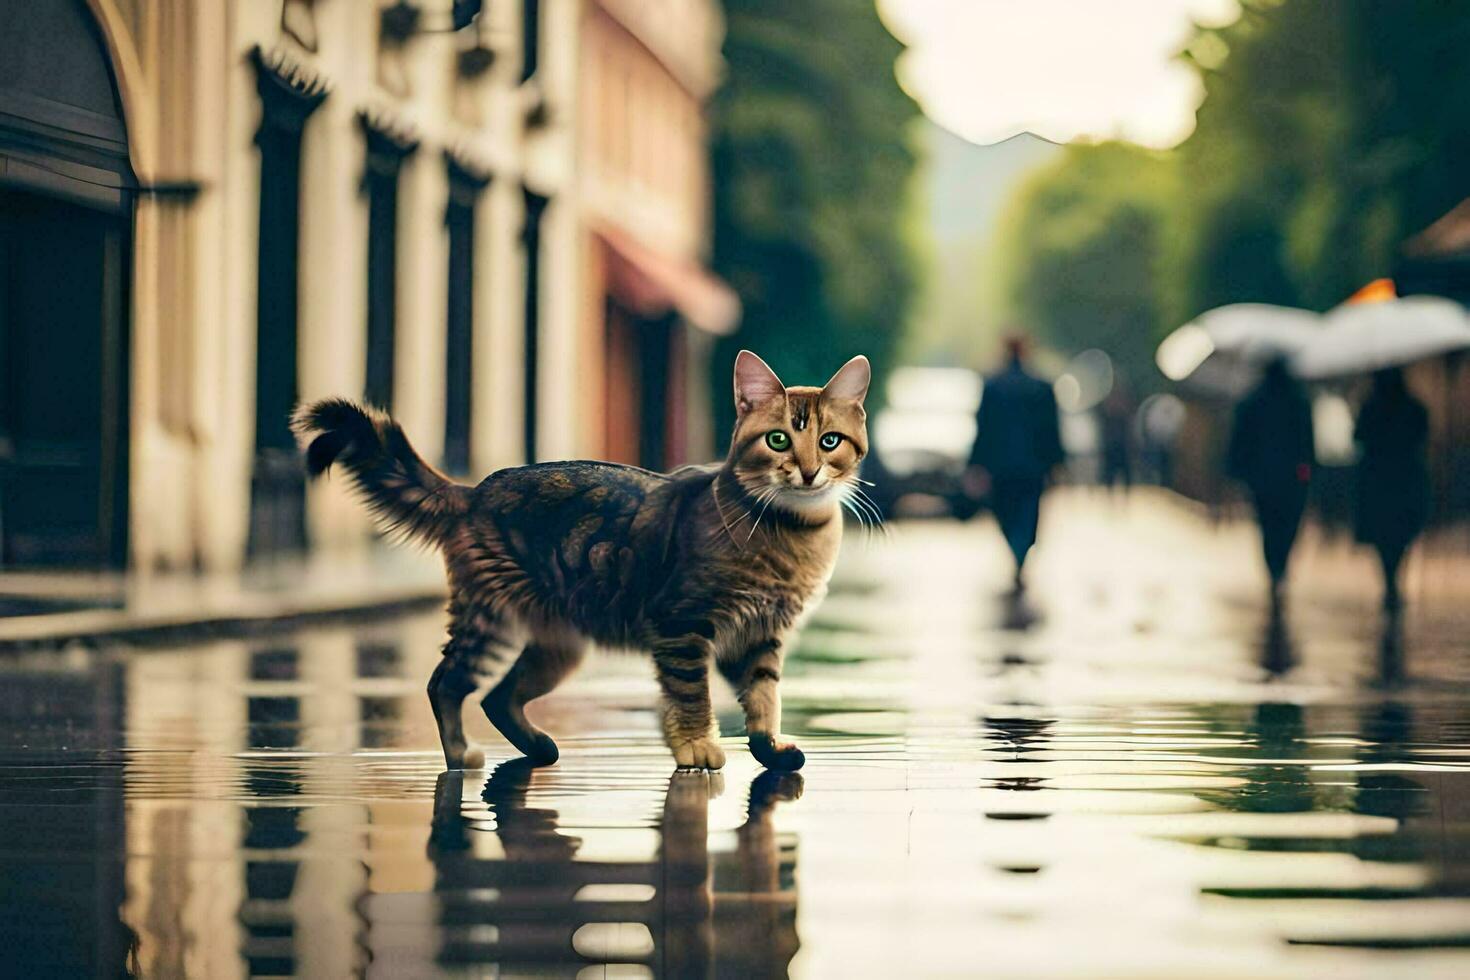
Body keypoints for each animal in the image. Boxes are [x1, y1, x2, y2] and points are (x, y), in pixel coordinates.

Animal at [295, 352, 870, 775]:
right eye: (778, 440)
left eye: (829, 441)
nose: (808, 472)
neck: (792, 535)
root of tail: (473, 490)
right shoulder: (684, 625)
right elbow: (692, 695)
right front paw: (696, 748)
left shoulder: (759, 636)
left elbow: (763, 696)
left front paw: (769, 748)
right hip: (490, 622)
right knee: (446, 684)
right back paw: (460, 755)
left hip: (558, 647)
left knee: (497, 698)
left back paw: (538, 749)